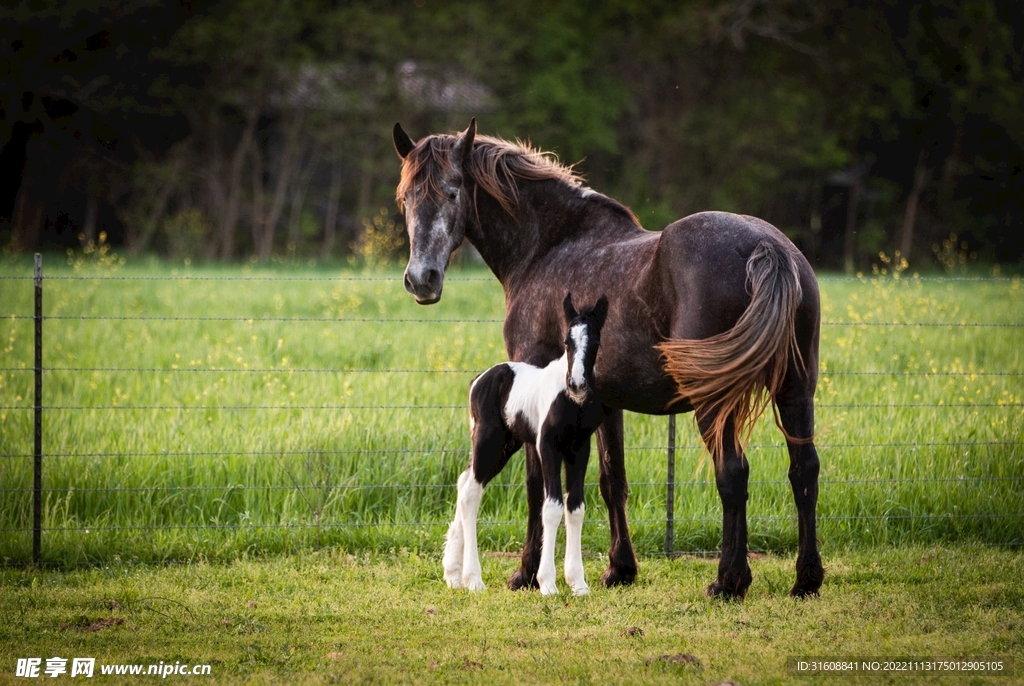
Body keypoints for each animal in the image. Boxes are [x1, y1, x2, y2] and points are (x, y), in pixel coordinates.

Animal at [442, 294, 606, 597]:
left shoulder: (580, 449)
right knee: (471, 491)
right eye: (567, 342)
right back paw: (473, 579)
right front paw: (548, 583)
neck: (571, 402)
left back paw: (453, 574)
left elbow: (575, 507)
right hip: (488, 442)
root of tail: (478, 380)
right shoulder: (547, 447)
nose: (577, 384)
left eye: (595, 342)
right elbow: (551, 507)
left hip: (504, 447)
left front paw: (578, 583)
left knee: (463, 482)